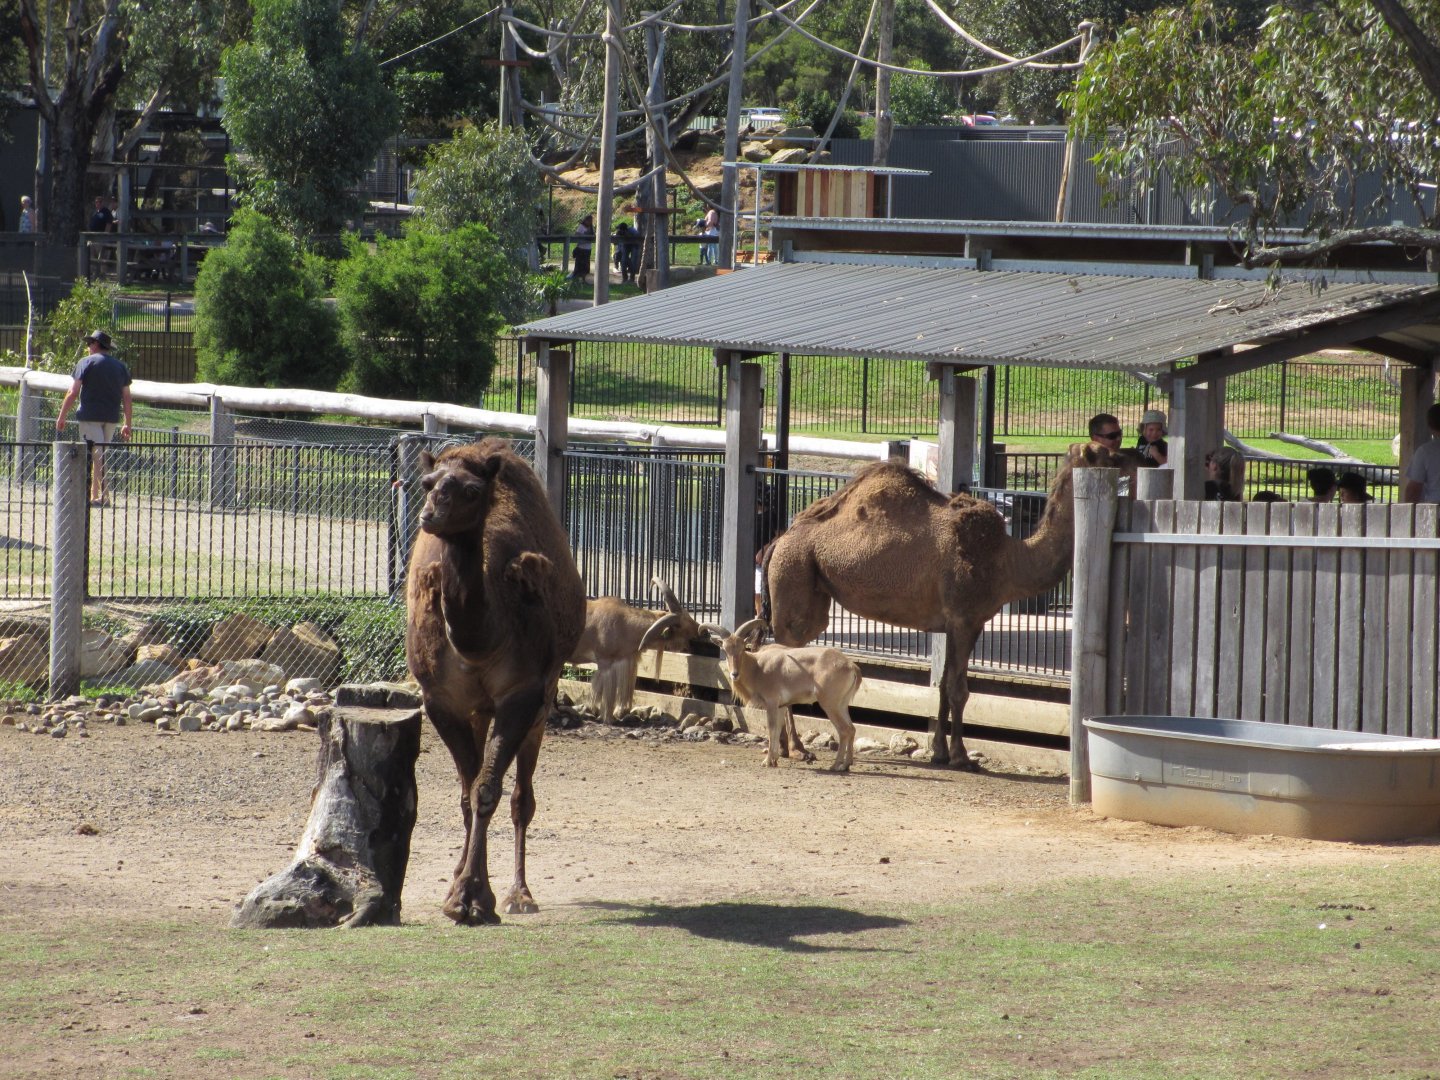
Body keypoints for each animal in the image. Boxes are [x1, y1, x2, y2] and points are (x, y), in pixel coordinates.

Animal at [406, 439, 585, 925]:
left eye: (470, 490)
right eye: (427, 482)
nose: (431, 514)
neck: (479, 642)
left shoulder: (522, 692)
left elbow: (488, 790)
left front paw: (475, 899)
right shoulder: (439, 699)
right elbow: (470, 793)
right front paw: (460, 893)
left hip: (542, 699)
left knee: (523, 798)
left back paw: (520, 893)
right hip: (476, 708)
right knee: (469, 790)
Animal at [572, 577, 704, 721]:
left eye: (687, 614)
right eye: (679, 625)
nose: (702, 631)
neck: (624, 624)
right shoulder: (605, 662)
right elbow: (607, 696)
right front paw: (608, 718)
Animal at [705, 617, 863, 772]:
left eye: (742, 648)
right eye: (725, 650)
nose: (734, 674)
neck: (757, 667)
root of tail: (851, 666)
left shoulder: (771, 702)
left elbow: (772, 728)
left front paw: (767, 761)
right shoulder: (781, 706)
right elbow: (777, 729)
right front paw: (774, 760)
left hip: (830, 704)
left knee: (844, 730)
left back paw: (836, 765)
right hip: (842, 705)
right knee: (852, 729)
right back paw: (846, 764)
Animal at [763, 442, 1135, 770]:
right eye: (1110, 454)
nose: (1139, 456)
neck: (1009, 560)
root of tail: (778, 540)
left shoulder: (965, 623)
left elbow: (942, 685)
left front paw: (940, 752)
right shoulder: (964, 618)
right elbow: (959, 690)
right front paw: (961, 756)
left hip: (812, 590)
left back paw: (787, 746)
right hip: (794, 573)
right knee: (787, 648)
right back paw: (796, 748)